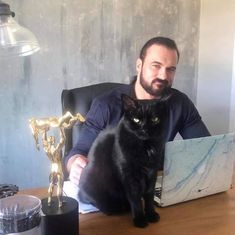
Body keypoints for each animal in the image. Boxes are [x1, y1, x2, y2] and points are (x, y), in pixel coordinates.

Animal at [78, 93, 169, 228]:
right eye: (136, 120)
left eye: (155, 119)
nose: (145, 130)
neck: (144, 147)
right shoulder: (128, 175)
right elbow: (135, 198)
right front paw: (140, 219)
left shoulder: (152, 171)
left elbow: (149, 195)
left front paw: (151, 214)